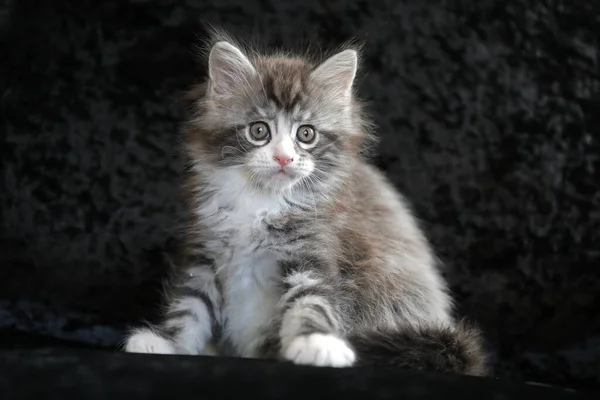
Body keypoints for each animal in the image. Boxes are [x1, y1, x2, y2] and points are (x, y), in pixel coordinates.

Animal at [122, 32, 488, 376]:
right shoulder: (204, 253)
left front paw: (317, 344)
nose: (284, 158)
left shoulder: (313, 253)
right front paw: (165, 343)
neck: (261, 202)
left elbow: (310, 303)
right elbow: (189, 308)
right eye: (259, 131)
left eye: (306, 134)